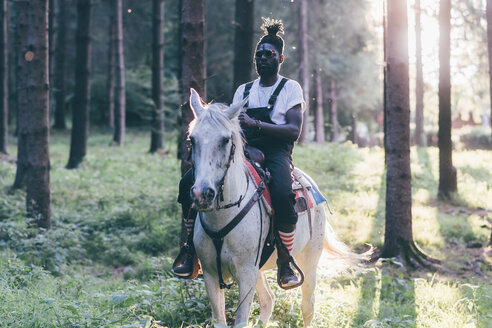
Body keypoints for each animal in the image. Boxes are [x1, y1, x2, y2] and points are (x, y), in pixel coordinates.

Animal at [188, 88, 366, 326]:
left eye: (225, 140)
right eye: (192, 140)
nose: (202, 194)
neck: (224, 216)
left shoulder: (246, 274)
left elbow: (241, 321)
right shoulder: (210, 274)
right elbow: (220, 320)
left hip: (309, 263)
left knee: (307, 307)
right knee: (268, 300)